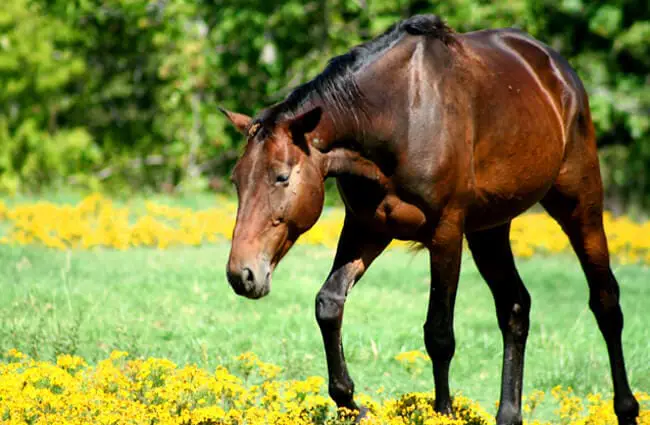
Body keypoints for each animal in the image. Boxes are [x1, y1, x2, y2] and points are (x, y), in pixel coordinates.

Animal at [218, 14, 636, 424]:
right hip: (489, 230)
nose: (242, 274)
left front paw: (442, 411)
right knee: (515, 307)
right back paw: (508, 414)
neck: (396, 117)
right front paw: (352, 403)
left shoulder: (446, 233)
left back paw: (626, 408)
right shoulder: (366, 227)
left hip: (579, 204)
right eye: (236, 180)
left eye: (281, 177)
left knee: (606, 302)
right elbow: (329, 304)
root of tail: (558, 70)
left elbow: (439, 334)